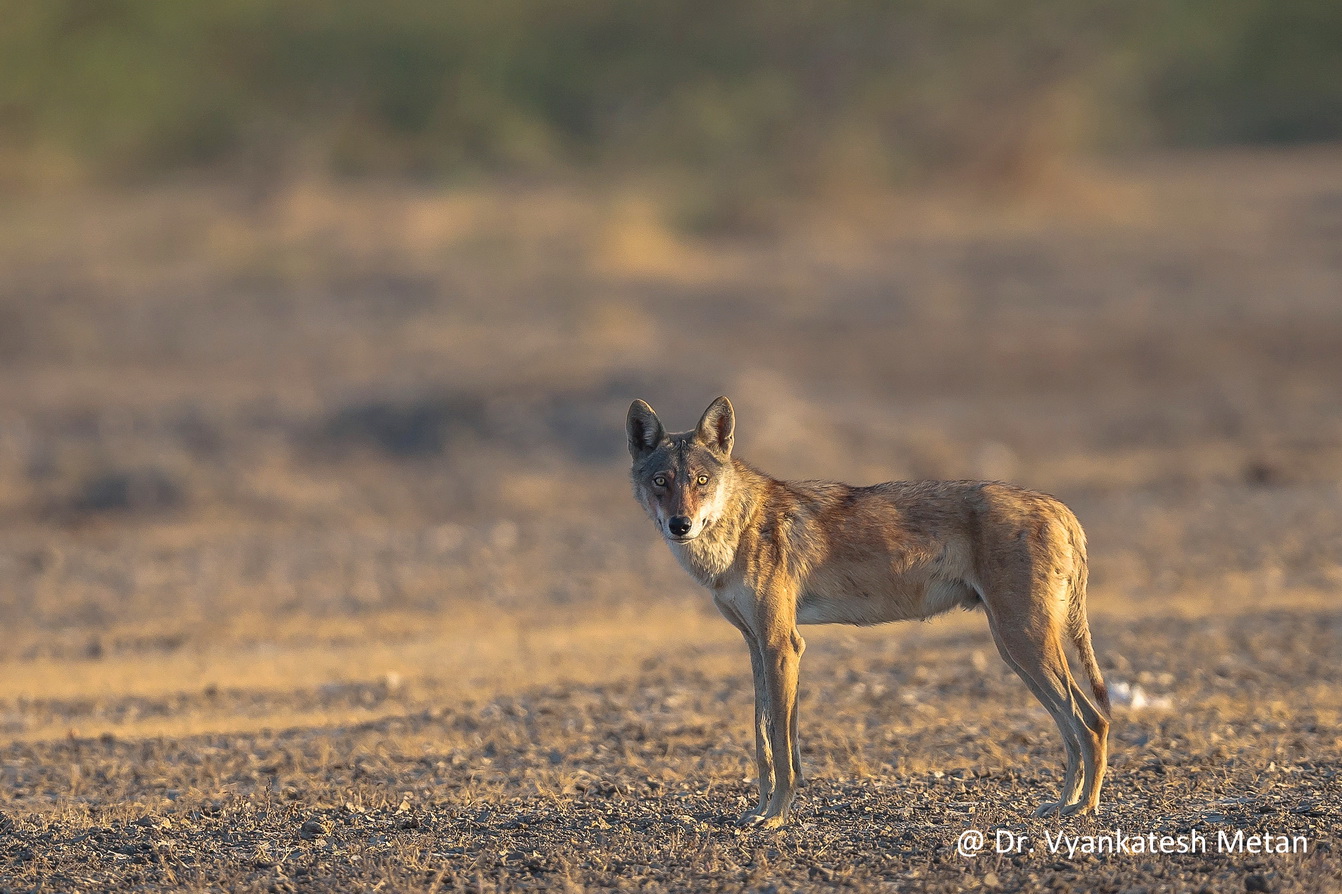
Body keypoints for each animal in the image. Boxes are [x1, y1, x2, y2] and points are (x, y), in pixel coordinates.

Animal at [627, 396, 1110, 828]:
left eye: (701, 480)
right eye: (662, 481)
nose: (680, 525)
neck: (737, 531)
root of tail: (1059, 507)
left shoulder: (784, 645)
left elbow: (782, 747)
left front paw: (777, 817)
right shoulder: (756, 645)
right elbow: (764, 741)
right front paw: (759, 811)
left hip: (1023, 642)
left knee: (1092, 721)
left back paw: (1083, 809)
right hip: (1015, 651)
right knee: (1076, 726)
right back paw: (1063, 803)